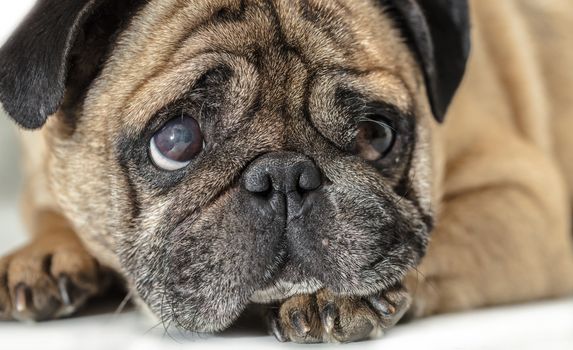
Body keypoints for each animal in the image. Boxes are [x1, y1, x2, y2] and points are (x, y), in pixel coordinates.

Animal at [1, 0, 572, 344]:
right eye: (177, 140)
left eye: (375, 135)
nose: (284, 177)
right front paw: (42, 255)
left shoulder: (526, 203)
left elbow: (435, 239)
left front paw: (329, 295)